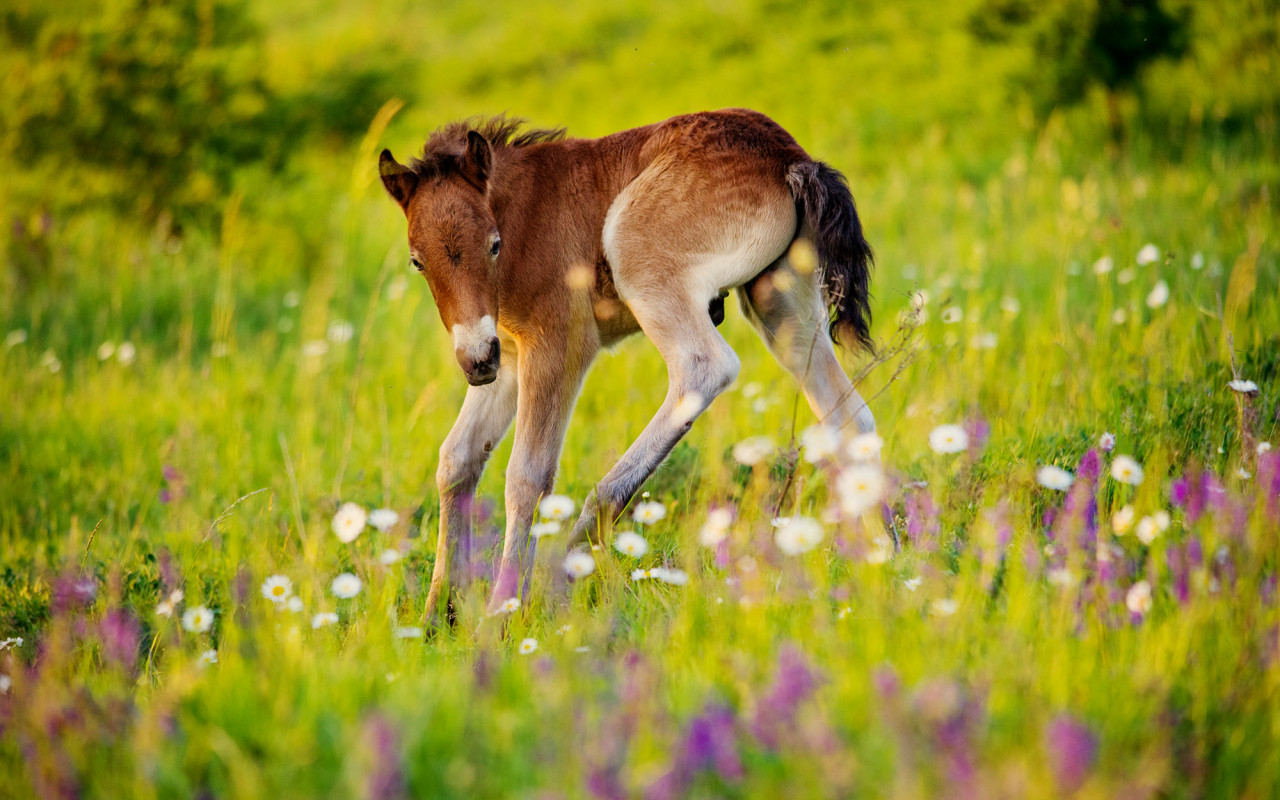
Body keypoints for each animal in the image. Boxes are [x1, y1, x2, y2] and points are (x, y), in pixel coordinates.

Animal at [376, 109, 880, 614]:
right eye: (418, 262)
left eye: (494, 244)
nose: (475, 360)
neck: (525, 212)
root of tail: (789, 156)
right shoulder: (509, 358)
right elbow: (457, 459)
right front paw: (437, 614)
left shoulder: (558, 343)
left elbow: (527, 476)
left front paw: (502, 611)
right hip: (780, 304)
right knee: (850, 416)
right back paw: (882, 560)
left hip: (638, 259)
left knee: (705, 366)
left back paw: (573, 549)